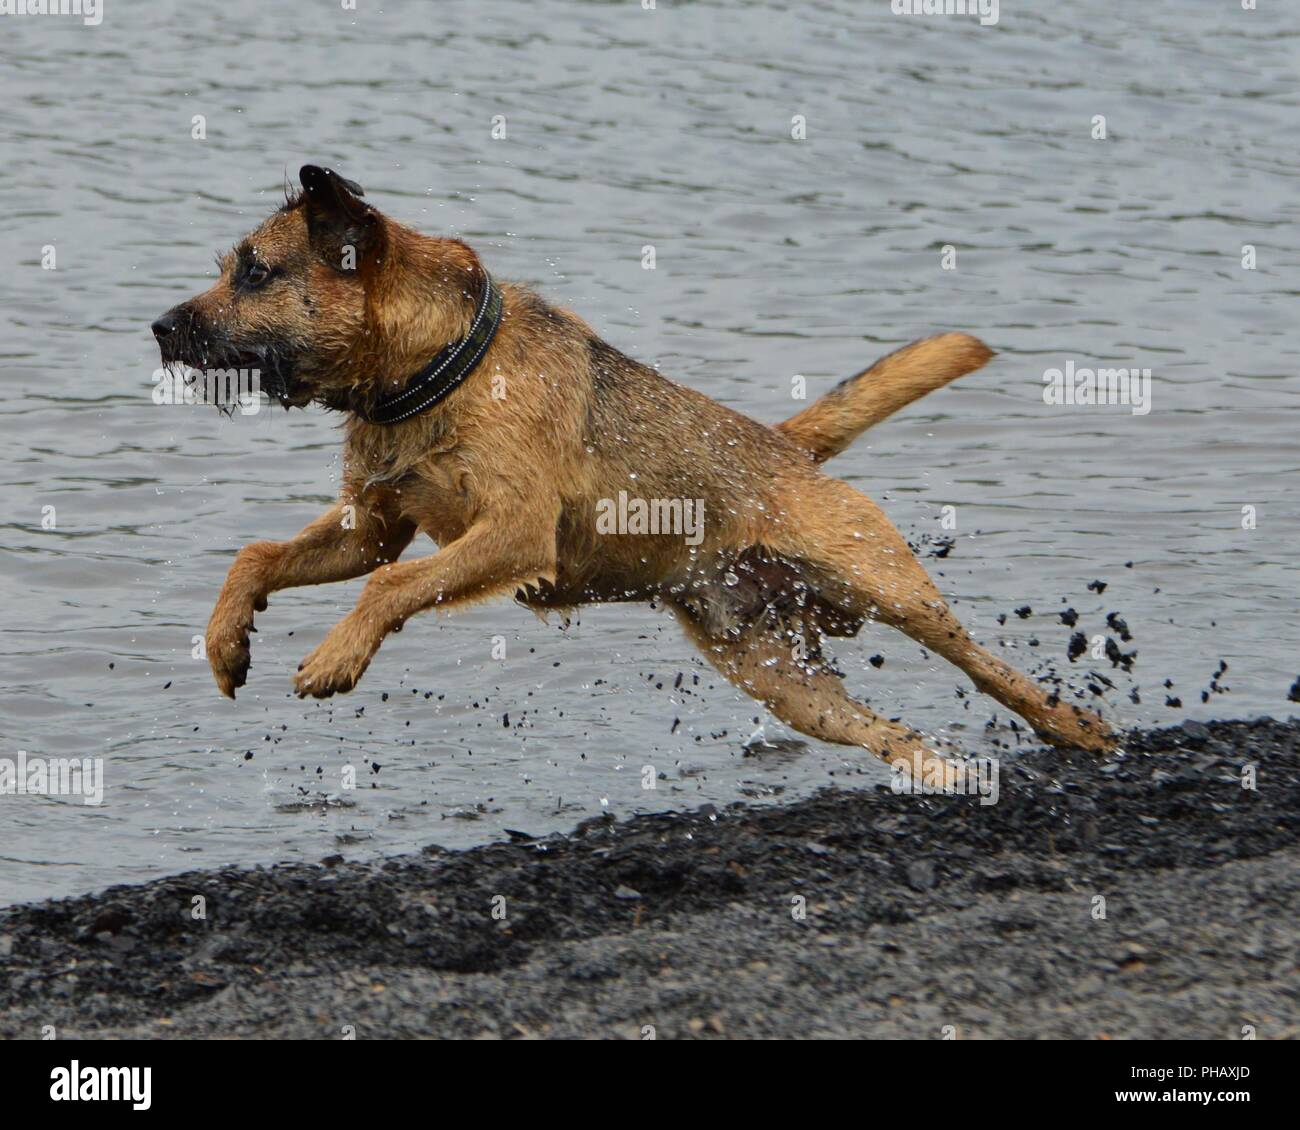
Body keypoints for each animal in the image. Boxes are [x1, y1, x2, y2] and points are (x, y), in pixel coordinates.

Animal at [149, 167, 1107, 780]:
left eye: (255, 272)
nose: (158, 327)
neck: (433, 374)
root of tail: (785, 448)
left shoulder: (512, 533)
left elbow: (389, 588)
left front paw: (334, 658)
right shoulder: (373, 526)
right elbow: (259, 557)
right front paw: (227, 642)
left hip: (889, 586)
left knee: (987, 668)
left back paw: (1078, 729)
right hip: (778, 677)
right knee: (879, 728)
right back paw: (947, 776)